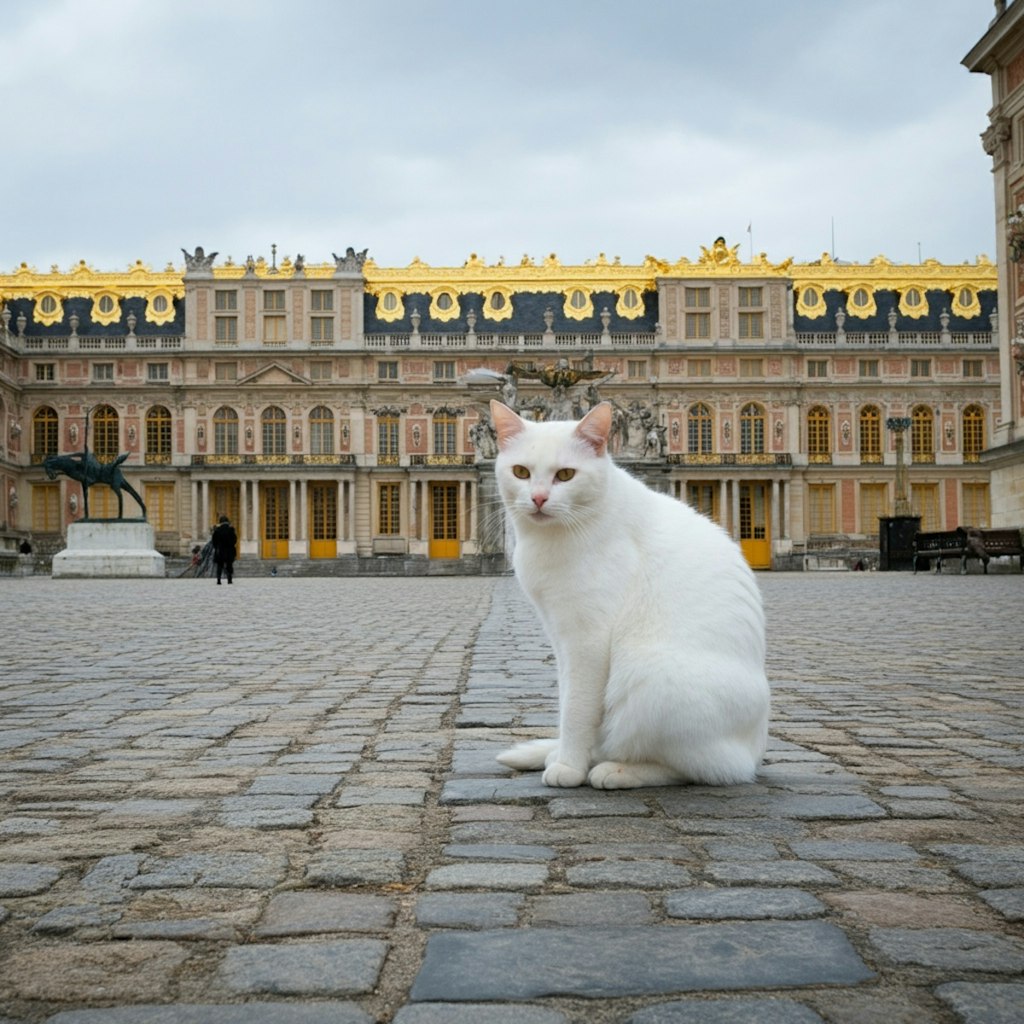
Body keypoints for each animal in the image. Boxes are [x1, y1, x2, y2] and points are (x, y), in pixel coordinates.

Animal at [491, 399, 770, 790]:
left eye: (566, 475)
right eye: (520, 472)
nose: (539, 498)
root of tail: (756, 750)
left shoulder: (588, 640)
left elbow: (576, 709)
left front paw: (570, 767)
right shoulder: (560, 634)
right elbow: (567, 702)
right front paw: (566, 755)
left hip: (651, 676)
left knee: (707, 768)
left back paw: (615, 770)